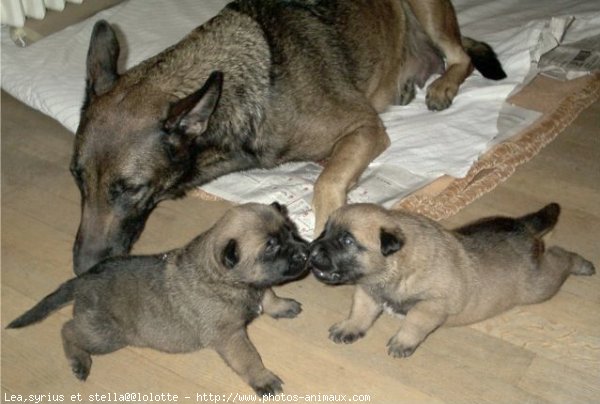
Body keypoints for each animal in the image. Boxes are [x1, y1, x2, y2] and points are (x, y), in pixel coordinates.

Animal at [7, 202, 310, 394]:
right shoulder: (230, 337)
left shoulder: (260, 285)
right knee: (68, 329)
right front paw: (263, 378)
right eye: (270, 247)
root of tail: (84, 279)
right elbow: (249, 358)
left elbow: (268, 294)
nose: (306, 253)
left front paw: (281, 305)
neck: (223, 278)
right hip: (106, 335)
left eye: (290, 231)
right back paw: (79, 361)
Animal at [72, 0, 506, 274]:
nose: (81, 269)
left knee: (462, 57)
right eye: (77, 178)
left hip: (427, 12)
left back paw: (443, 84)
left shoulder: (365, 127)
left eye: (131, 189)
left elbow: (326, 181)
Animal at [310, 204, 596, 358]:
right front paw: (350, 327)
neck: (396, 268)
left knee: (560, 256)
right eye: (325, 230)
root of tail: (522, 227)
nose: (311, 251)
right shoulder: (368, 290)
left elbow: (413, 322)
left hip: (538, 286)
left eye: (347, 240)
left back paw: (582, 264)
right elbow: (360, 312)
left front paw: (403, 342)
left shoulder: (431, 306)